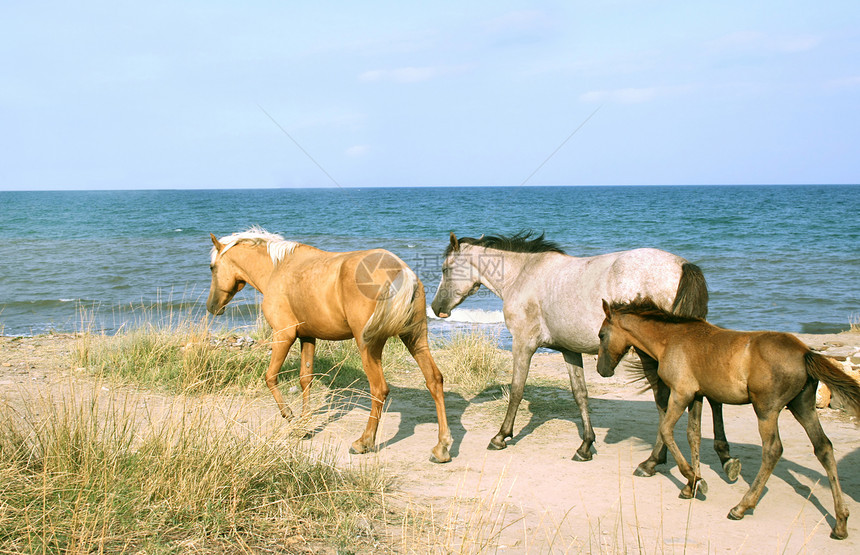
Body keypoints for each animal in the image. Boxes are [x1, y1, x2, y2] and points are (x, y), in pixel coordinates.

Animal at [207, 228, 454, 462]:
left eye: (211, 267)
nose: (212, 307)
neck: (278, 269)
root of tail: (402, 271)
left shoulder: (284, 334)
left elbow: (270, 377)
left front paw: (290, 416)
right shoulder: (307, 337)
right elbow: (305, 379)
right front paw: (303, 424)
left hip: (370, 346)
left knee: (379, 389)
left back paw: (364, 442)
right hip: (415, 339)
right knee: (434, 380)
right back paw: (442, 447)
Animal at [430, 235, 740, 478]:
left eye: (445, 269)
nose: (435, 307)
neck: (525, 275)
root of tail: (682, 265)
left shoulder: (524, 344)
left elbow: (517, 389)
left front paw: (501, 436)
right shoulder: (570, 350)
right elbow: (580, 394)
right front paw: (586, 446)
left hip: (651, 355)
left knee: (665, 403)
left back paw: (652, 461)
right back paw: (721, 459)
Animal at [596, 300, 860, 540]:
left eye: (601, 335)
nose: (601, 370)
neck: (670, 339)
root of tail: (805, 352)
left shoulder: (681, 393)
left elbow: (666, 430)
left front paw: (694, 479)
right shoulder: (697, 395)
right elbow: (693, 435)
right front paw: (690, 486)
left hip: (766, 410)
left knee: (773, 450)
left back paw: (741, 507)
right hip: (802, 406)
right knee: (823, 447)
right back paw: (840, 523)